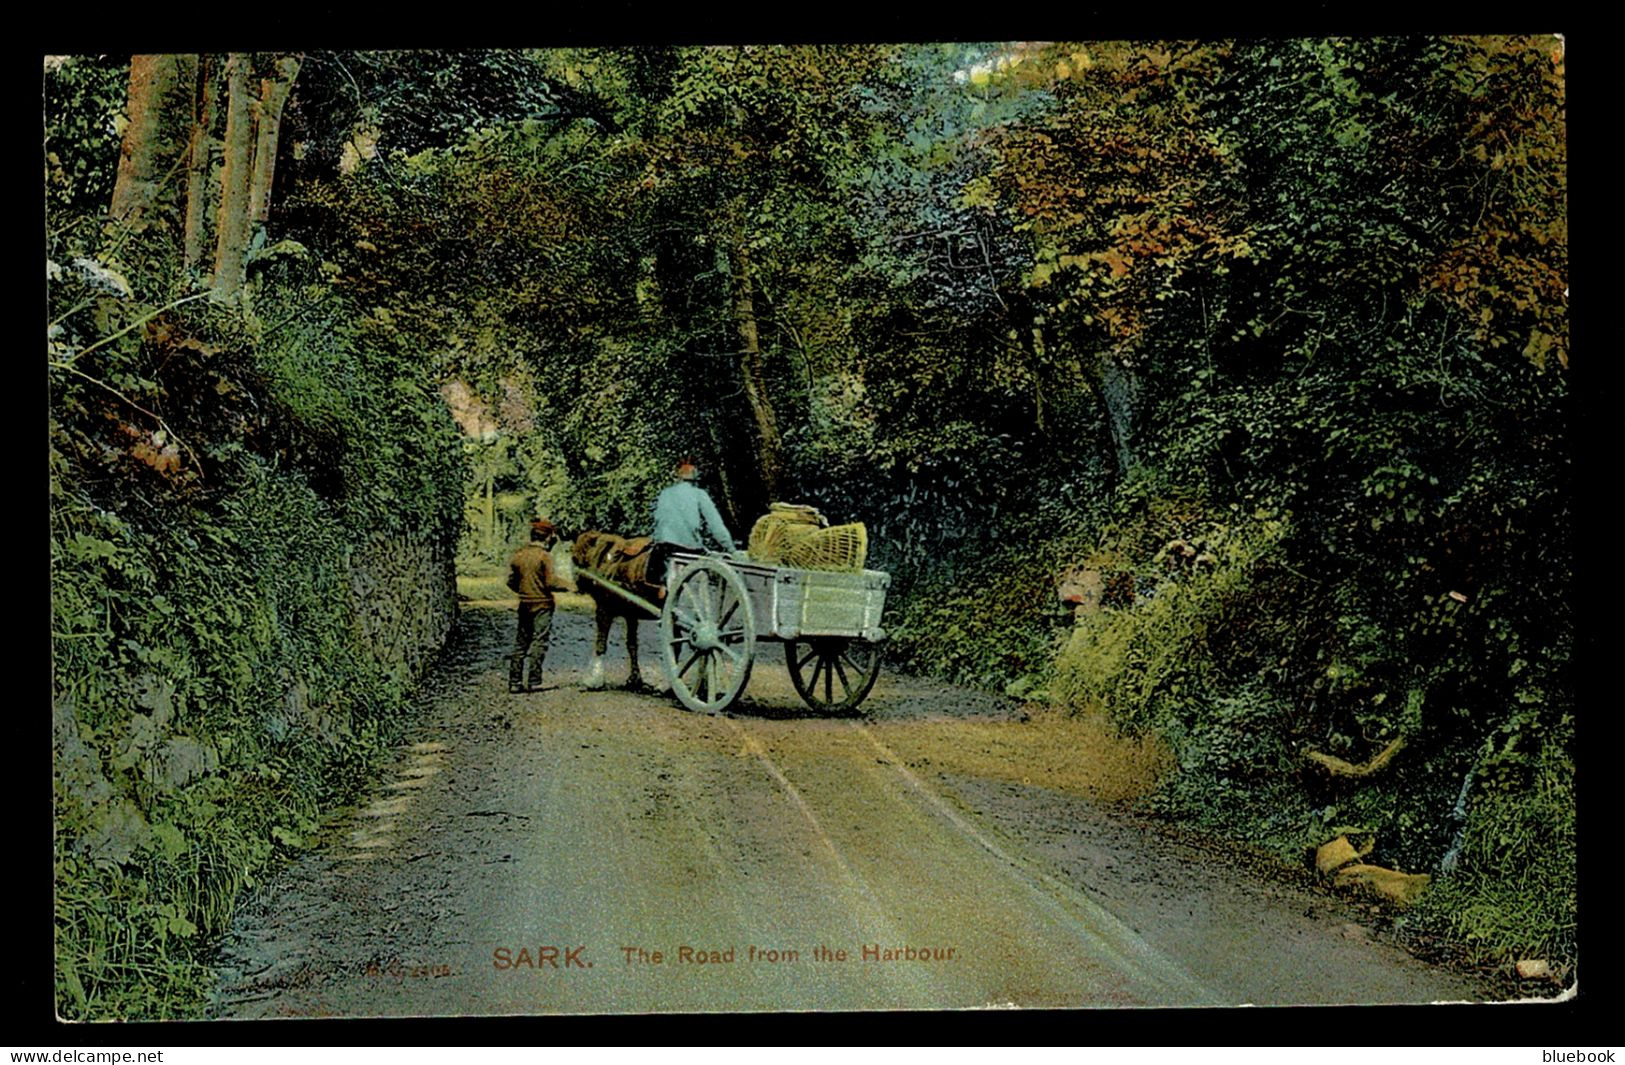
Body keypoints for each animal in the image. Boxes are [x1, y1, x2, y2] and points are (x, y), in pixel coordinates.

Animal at [568, 530, 663, 695]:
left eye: (575, 558)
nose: (577, 583)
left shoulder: (604, 610)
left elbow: (601, 644)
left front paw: (594, 679)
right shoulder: (631, 615)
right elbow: (632, 645)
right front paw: (634, 679)